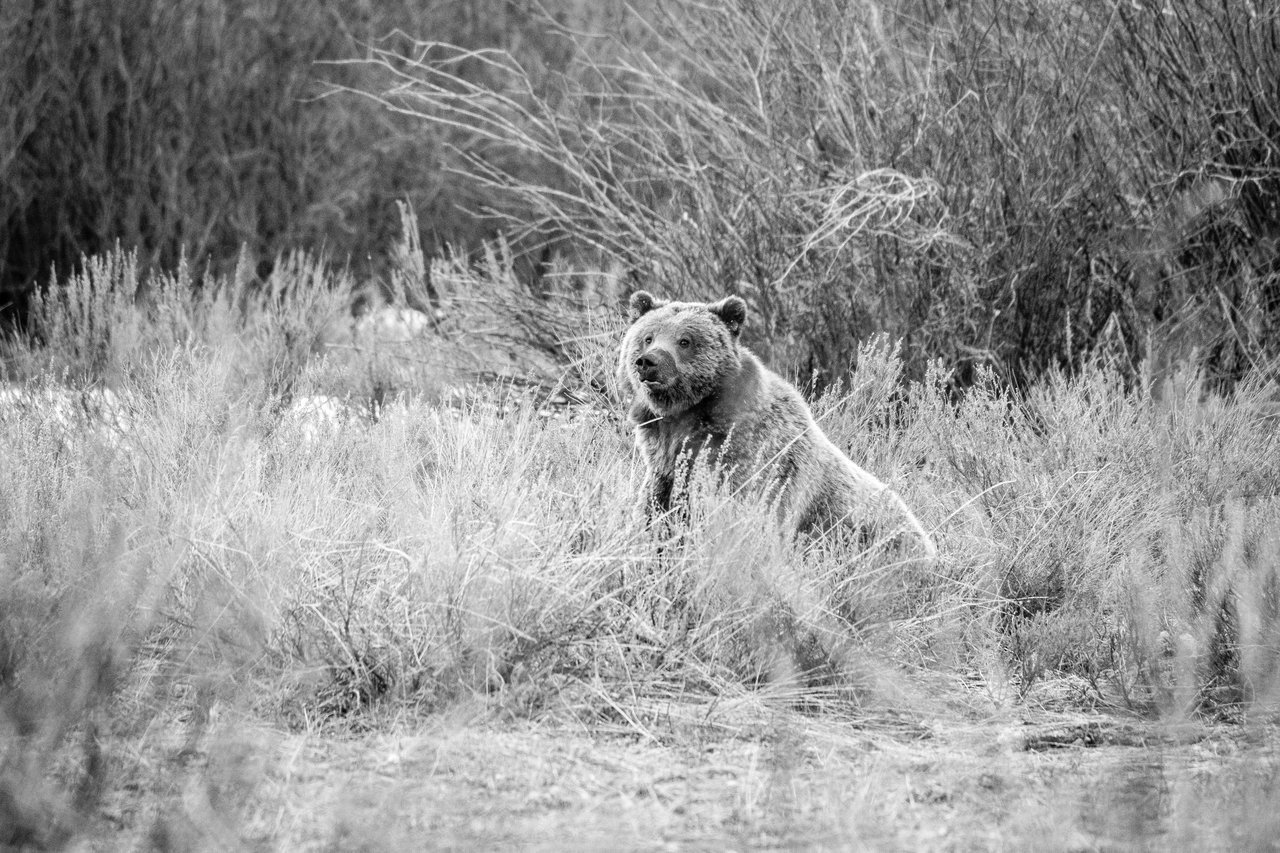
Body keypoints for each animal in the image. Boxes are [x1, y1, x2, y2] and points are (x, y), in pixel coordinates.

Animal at [618, 290, 935, 558]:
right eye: (648, 336)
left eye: (685, 340)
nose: (648, 362)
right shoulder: (664, 466)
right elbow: (655, 512)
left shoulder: (755, 464)